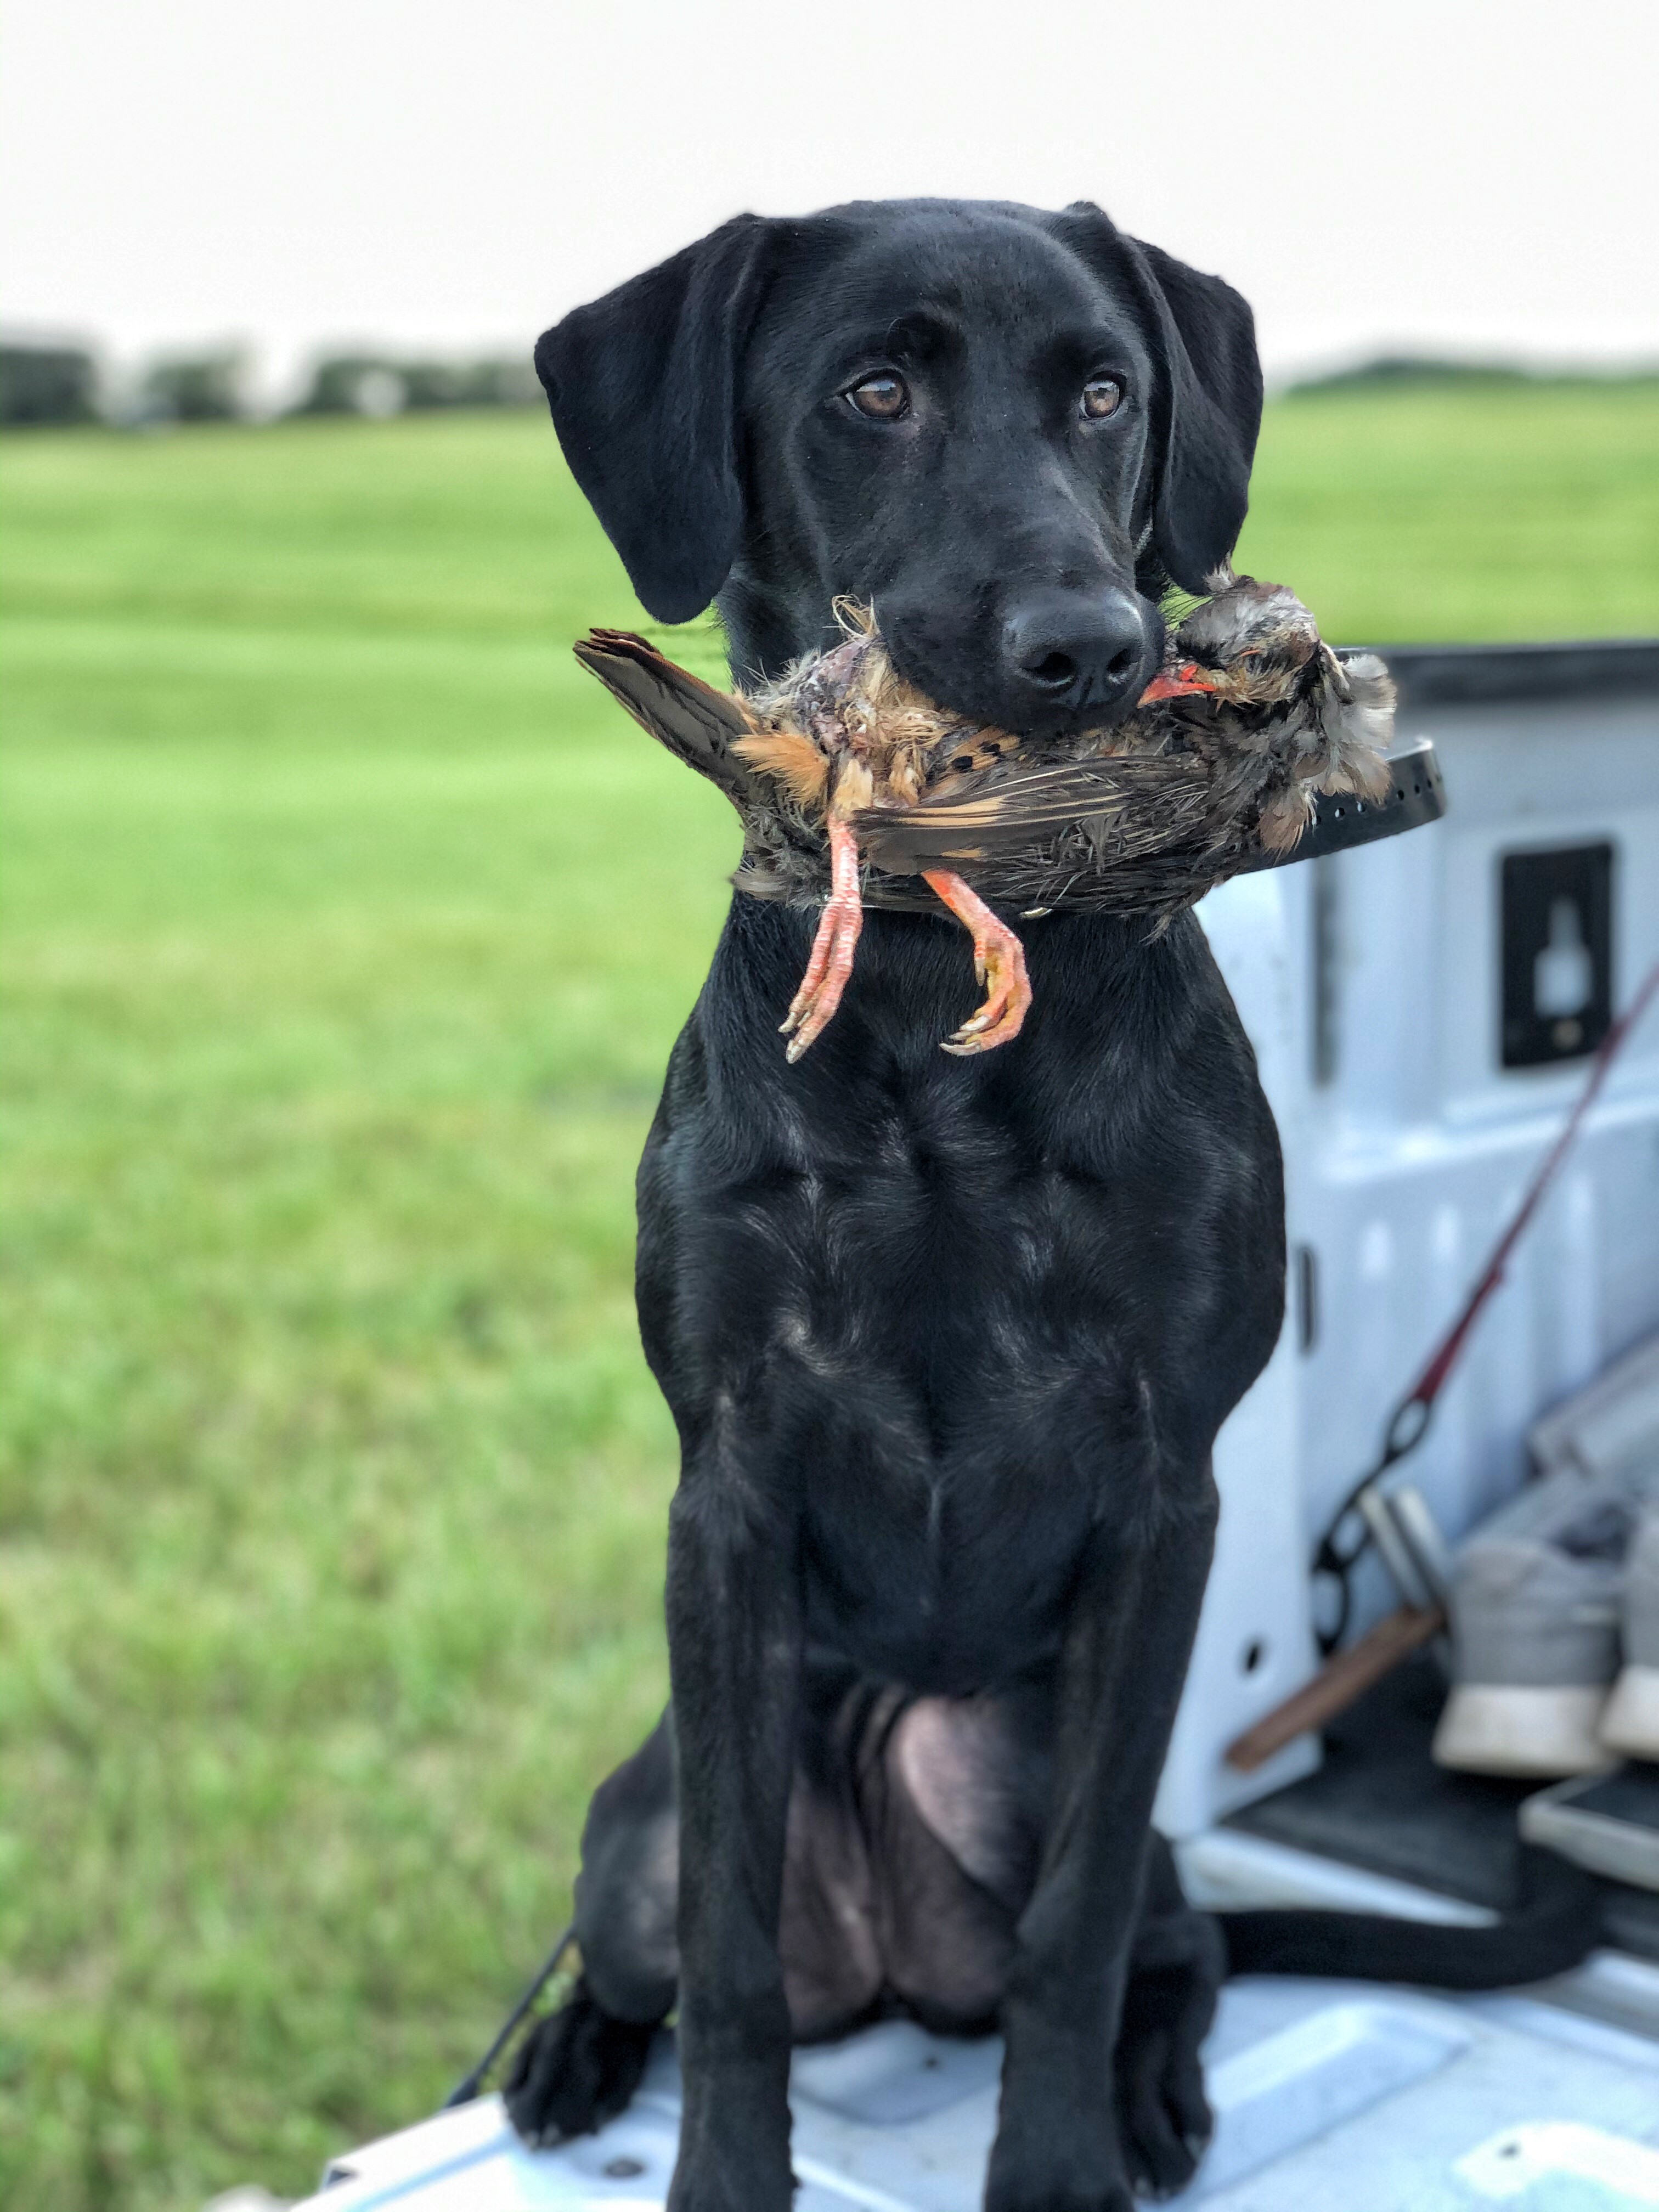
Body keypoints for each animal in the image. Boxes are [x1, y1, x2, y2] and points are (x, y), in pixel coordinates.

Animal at [506, 194, 1601, 2212]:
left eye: (1105, 393)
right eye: (871, 390)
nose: (1090, 650)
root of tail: (888, 1966)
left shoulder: (1167, 1494)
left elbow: (1071, 1935)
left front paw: (1063, 2164)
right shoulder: (728, 1481)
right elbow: (729, 1954)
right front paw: (721, 2175)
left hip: (1054, 1771)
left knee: (1171, 1943)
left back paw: (1158, 2090)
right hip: (634, 1817)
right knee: (646, 1938)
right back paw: (565, 2056)